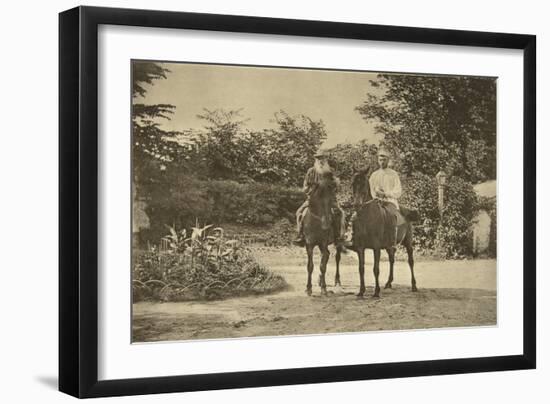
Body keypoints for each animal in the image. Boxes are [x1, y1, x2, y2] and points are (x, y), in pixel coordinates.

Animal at [352, 167, 420, 296]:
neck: (367, 218)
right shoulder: (360, 248)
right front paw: (361, 291)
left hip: (408, 242)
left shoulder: (376, 247)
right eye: (353, 184)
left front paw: (376, 292)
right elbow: (361, 269)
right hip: (389, 246)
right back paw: (389, 283)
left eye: (363, 184)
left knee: (411, 261)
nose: (357, 204)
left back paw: (414, 286)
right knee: (392, 259)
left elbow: (376, 269)